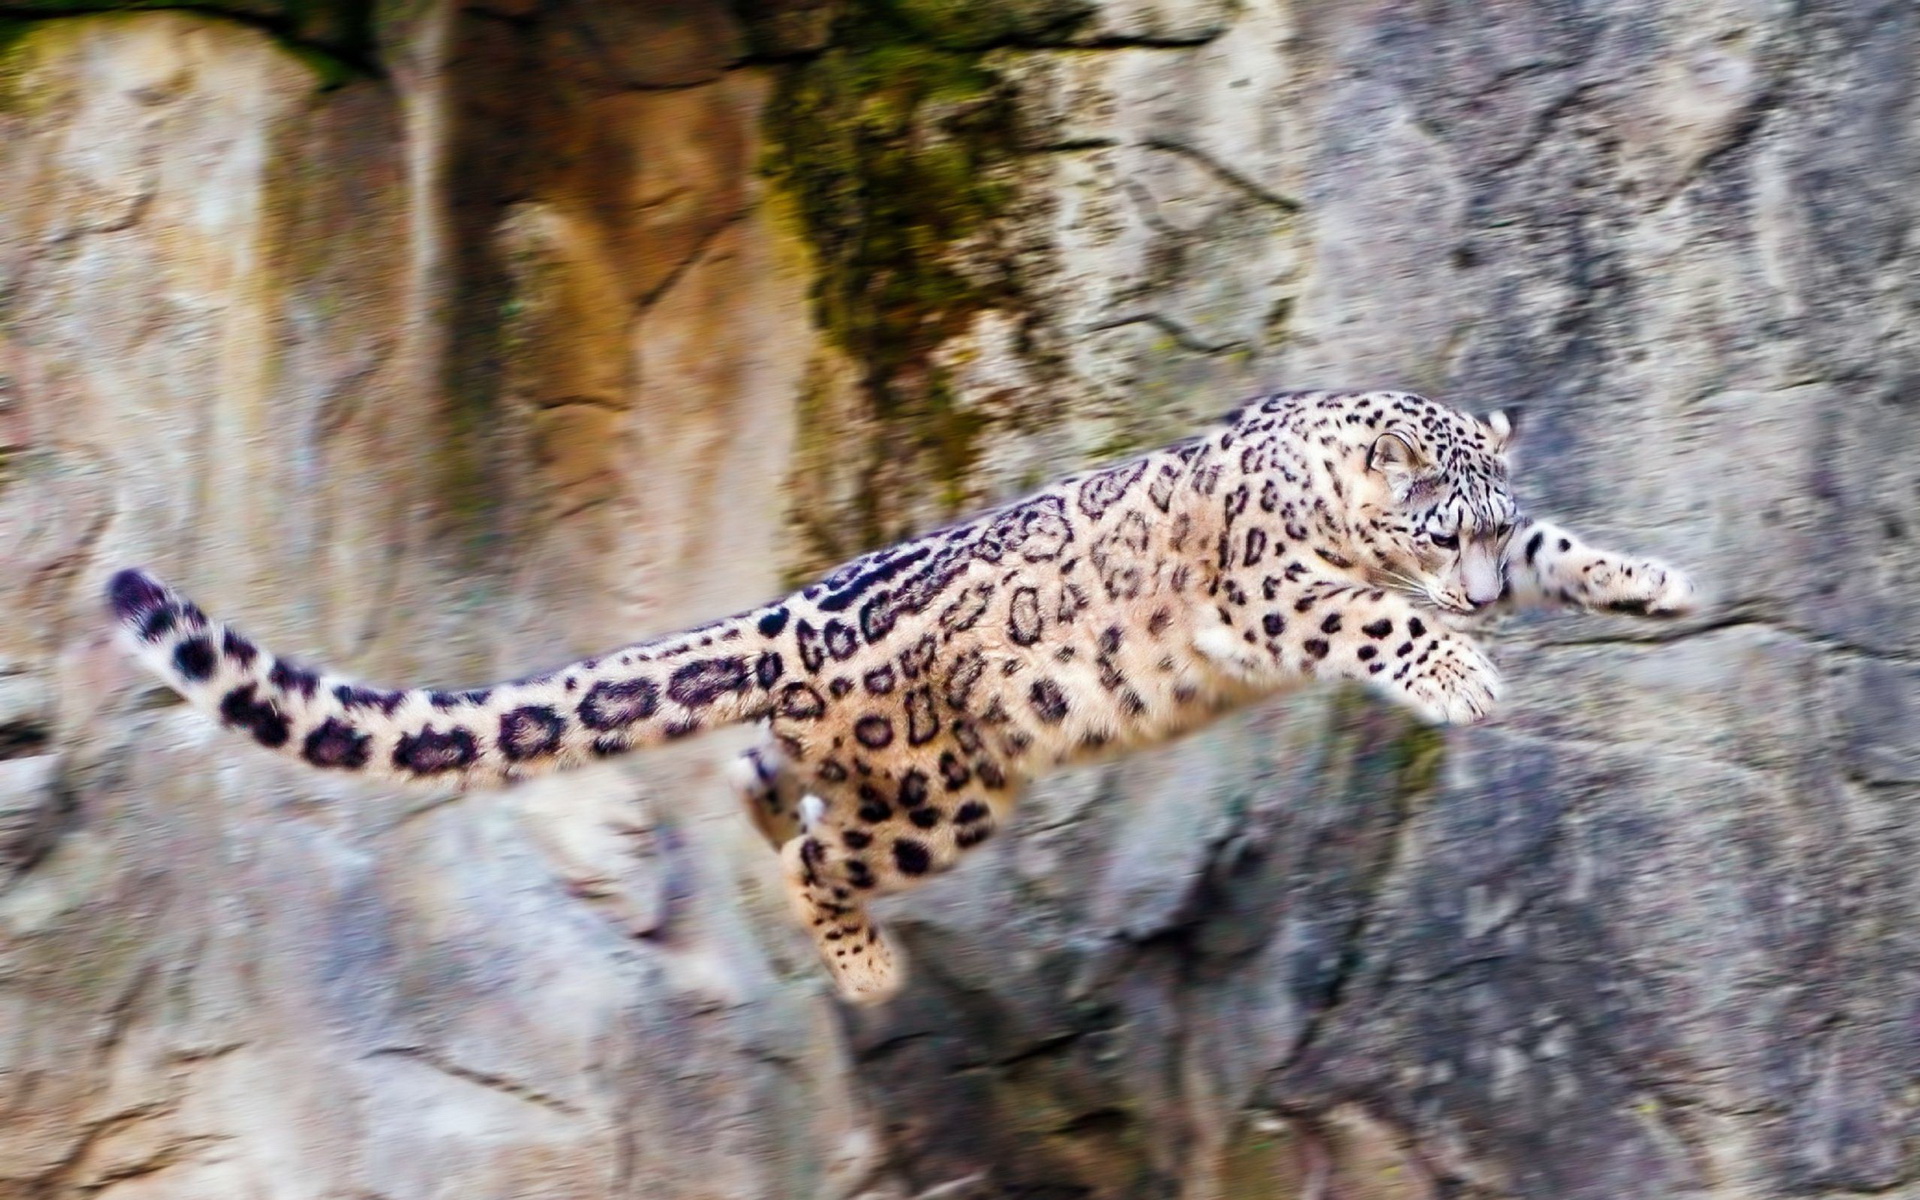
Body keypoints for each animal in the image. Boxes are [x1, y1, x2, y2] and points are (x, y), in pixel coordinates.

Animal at [108, 393, 1697, 998]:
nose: (1475, 598)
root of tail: (788, 615)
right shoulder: (1272, 588)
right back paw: (866, 969)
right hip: (948, 791)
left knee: (768, 782)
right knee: (821, 851)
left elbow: (1570, 555)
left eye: (1494, 524)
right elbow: (1362, 611)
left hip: (879, 769)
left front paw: (1653, 580)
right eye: (1437, 531)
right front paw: (1463, 672)